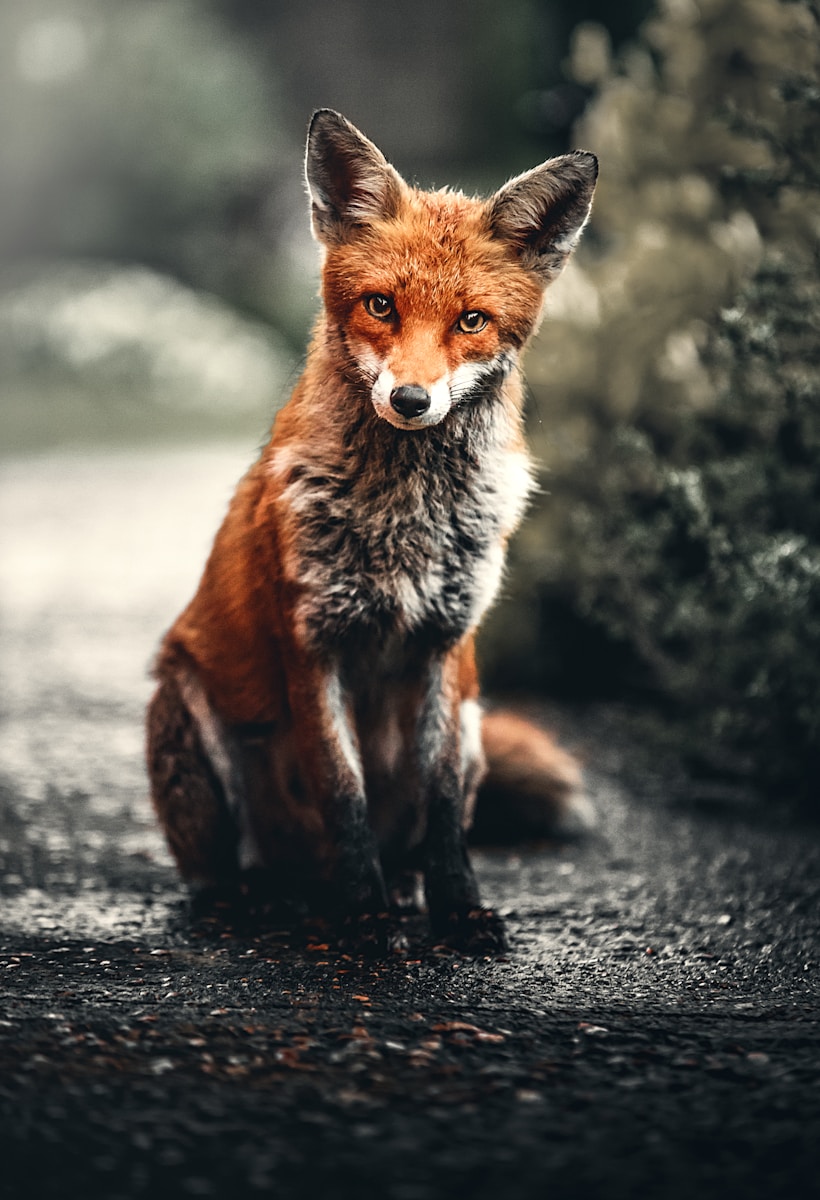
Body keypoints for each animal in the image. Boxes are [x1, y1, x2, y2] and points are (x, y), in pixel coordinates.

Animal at [146, 109, 597, 953]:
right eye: (381, 306)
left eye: (471, 320)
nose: (412, 400)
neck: (404, 520)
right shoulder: (313, 643)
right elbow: (343, 793)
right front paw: (364, 918)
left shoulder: (447, 648)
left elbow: (444, 809)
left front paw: (458, 910)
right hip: (188, 711)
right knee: (227, 872)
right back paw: (265, 900)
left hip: (477, 722)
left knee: (413, 838)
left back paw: (400, 891)